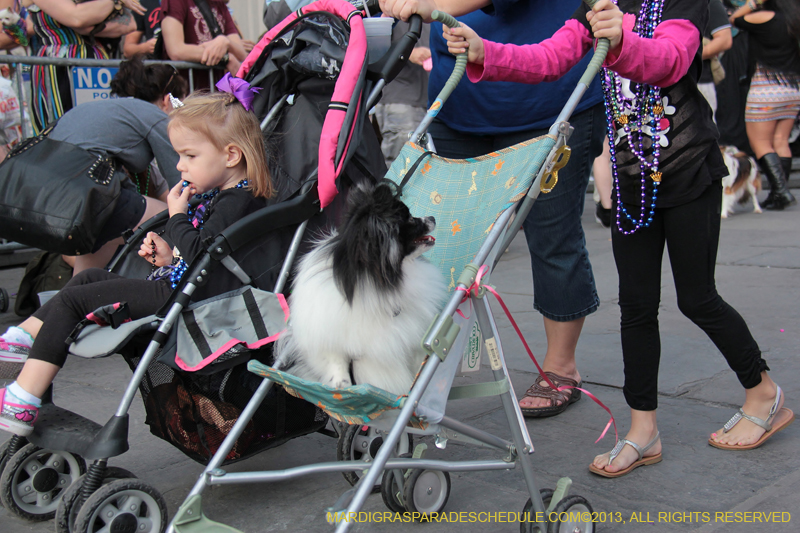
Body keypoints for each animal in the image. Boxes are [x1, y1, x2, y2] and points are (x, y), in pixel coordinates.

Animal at [278, 183, 446, 394]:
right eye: (409, 219)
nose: (432, 218)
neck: (374, 280)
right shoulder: (324, 332)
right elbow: (336, 360)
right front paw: (341, 383)